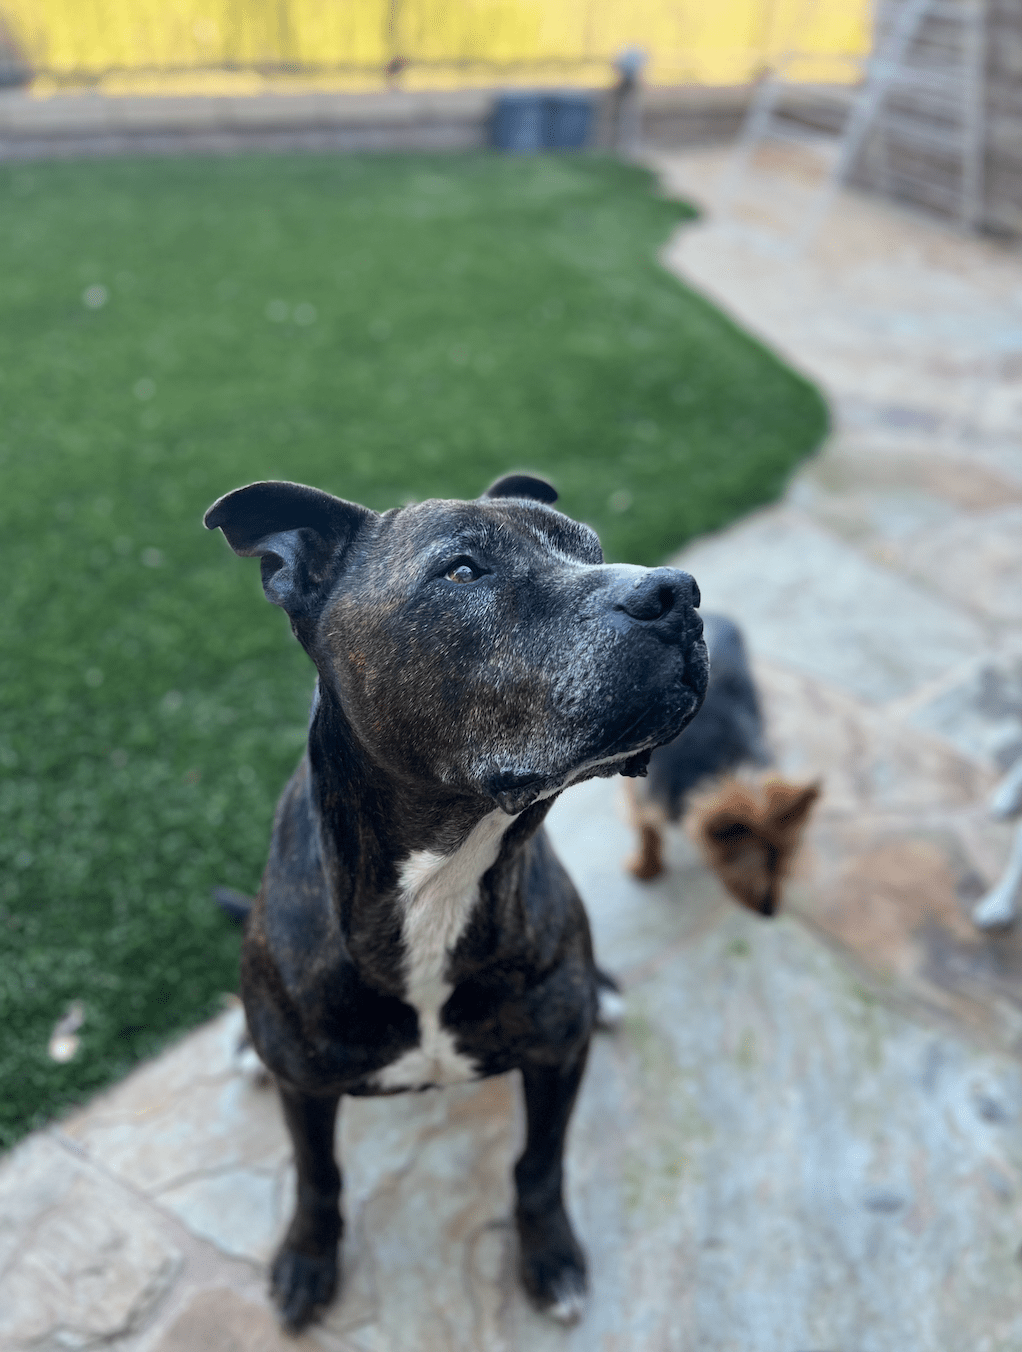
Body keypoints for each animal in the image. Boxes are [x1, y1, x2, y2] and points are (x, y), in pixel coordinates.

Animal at [204, 475, 708, 1330]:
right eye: (464, 571)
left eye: (591, 550)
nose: (676, 593)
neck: (443, 882)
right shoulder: (306, 1091)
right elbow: (317, 1178)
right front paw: (307, 1261)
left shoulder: (554, 1057)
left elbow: (539, 1165)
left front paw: (550, 1256)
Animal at [621, 616, 816, 919]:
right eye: (746, 867)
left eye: (783, 863)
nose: (770, 911)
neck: (717, 765)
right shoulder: (642, 794)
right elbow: (647, 830)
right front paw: (646, 866)